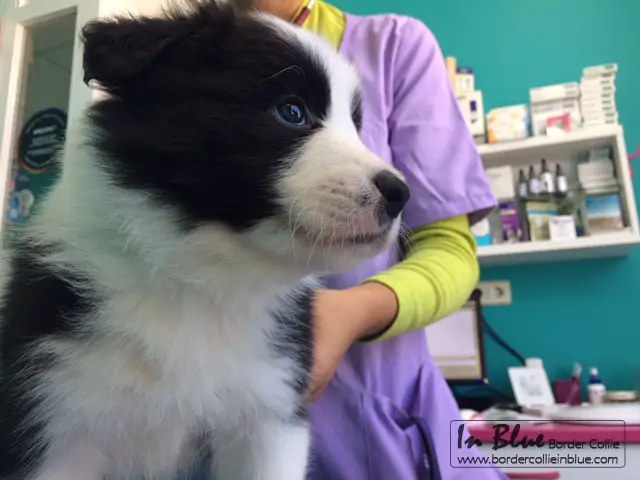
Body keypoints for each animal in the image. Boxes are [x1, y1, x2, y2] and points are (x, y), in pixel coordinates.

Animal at [0, 1, 410, 478]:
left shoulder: (270, 415)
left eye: (357, 126)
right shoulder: (53, 416)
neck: (203, 272)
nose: (401, 194)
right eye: (291, 112)